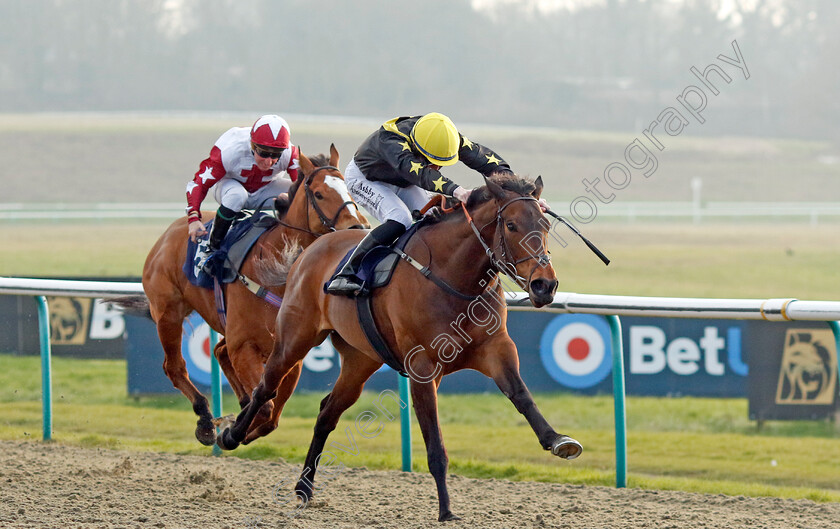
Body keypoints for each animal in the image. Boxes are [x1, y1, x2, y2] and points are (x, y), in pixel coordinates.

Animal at [138, 145, 368, 446]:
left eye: (349, 192)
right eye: (319, 194)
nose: (357, 228)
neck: (278, 272)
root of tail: (170, 232)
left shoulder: (289, 355)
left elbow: (271, 415)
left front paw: (240, 423)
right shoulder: (245, 345)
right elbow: (266, 406)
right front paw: (231, 430)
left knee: (218, 351)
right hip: (168, 312)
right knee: (175, 367)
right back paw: (205, 421)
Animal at [218, 172, 584, 520]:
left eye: (545, 225)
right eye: (511, 225)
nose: (545, 285)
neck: (454, 276)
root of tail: (311, 248)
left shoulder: (496, 348)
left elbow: (521, 395)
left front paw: (557, 440)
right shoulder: (423, 367)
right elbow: (434, 443)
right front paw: (446, 510)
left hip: (360, 359)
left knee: (326, 413)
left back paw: (304, 488)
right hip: (294, 337)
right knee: (265, 388)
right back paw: (232, 435)